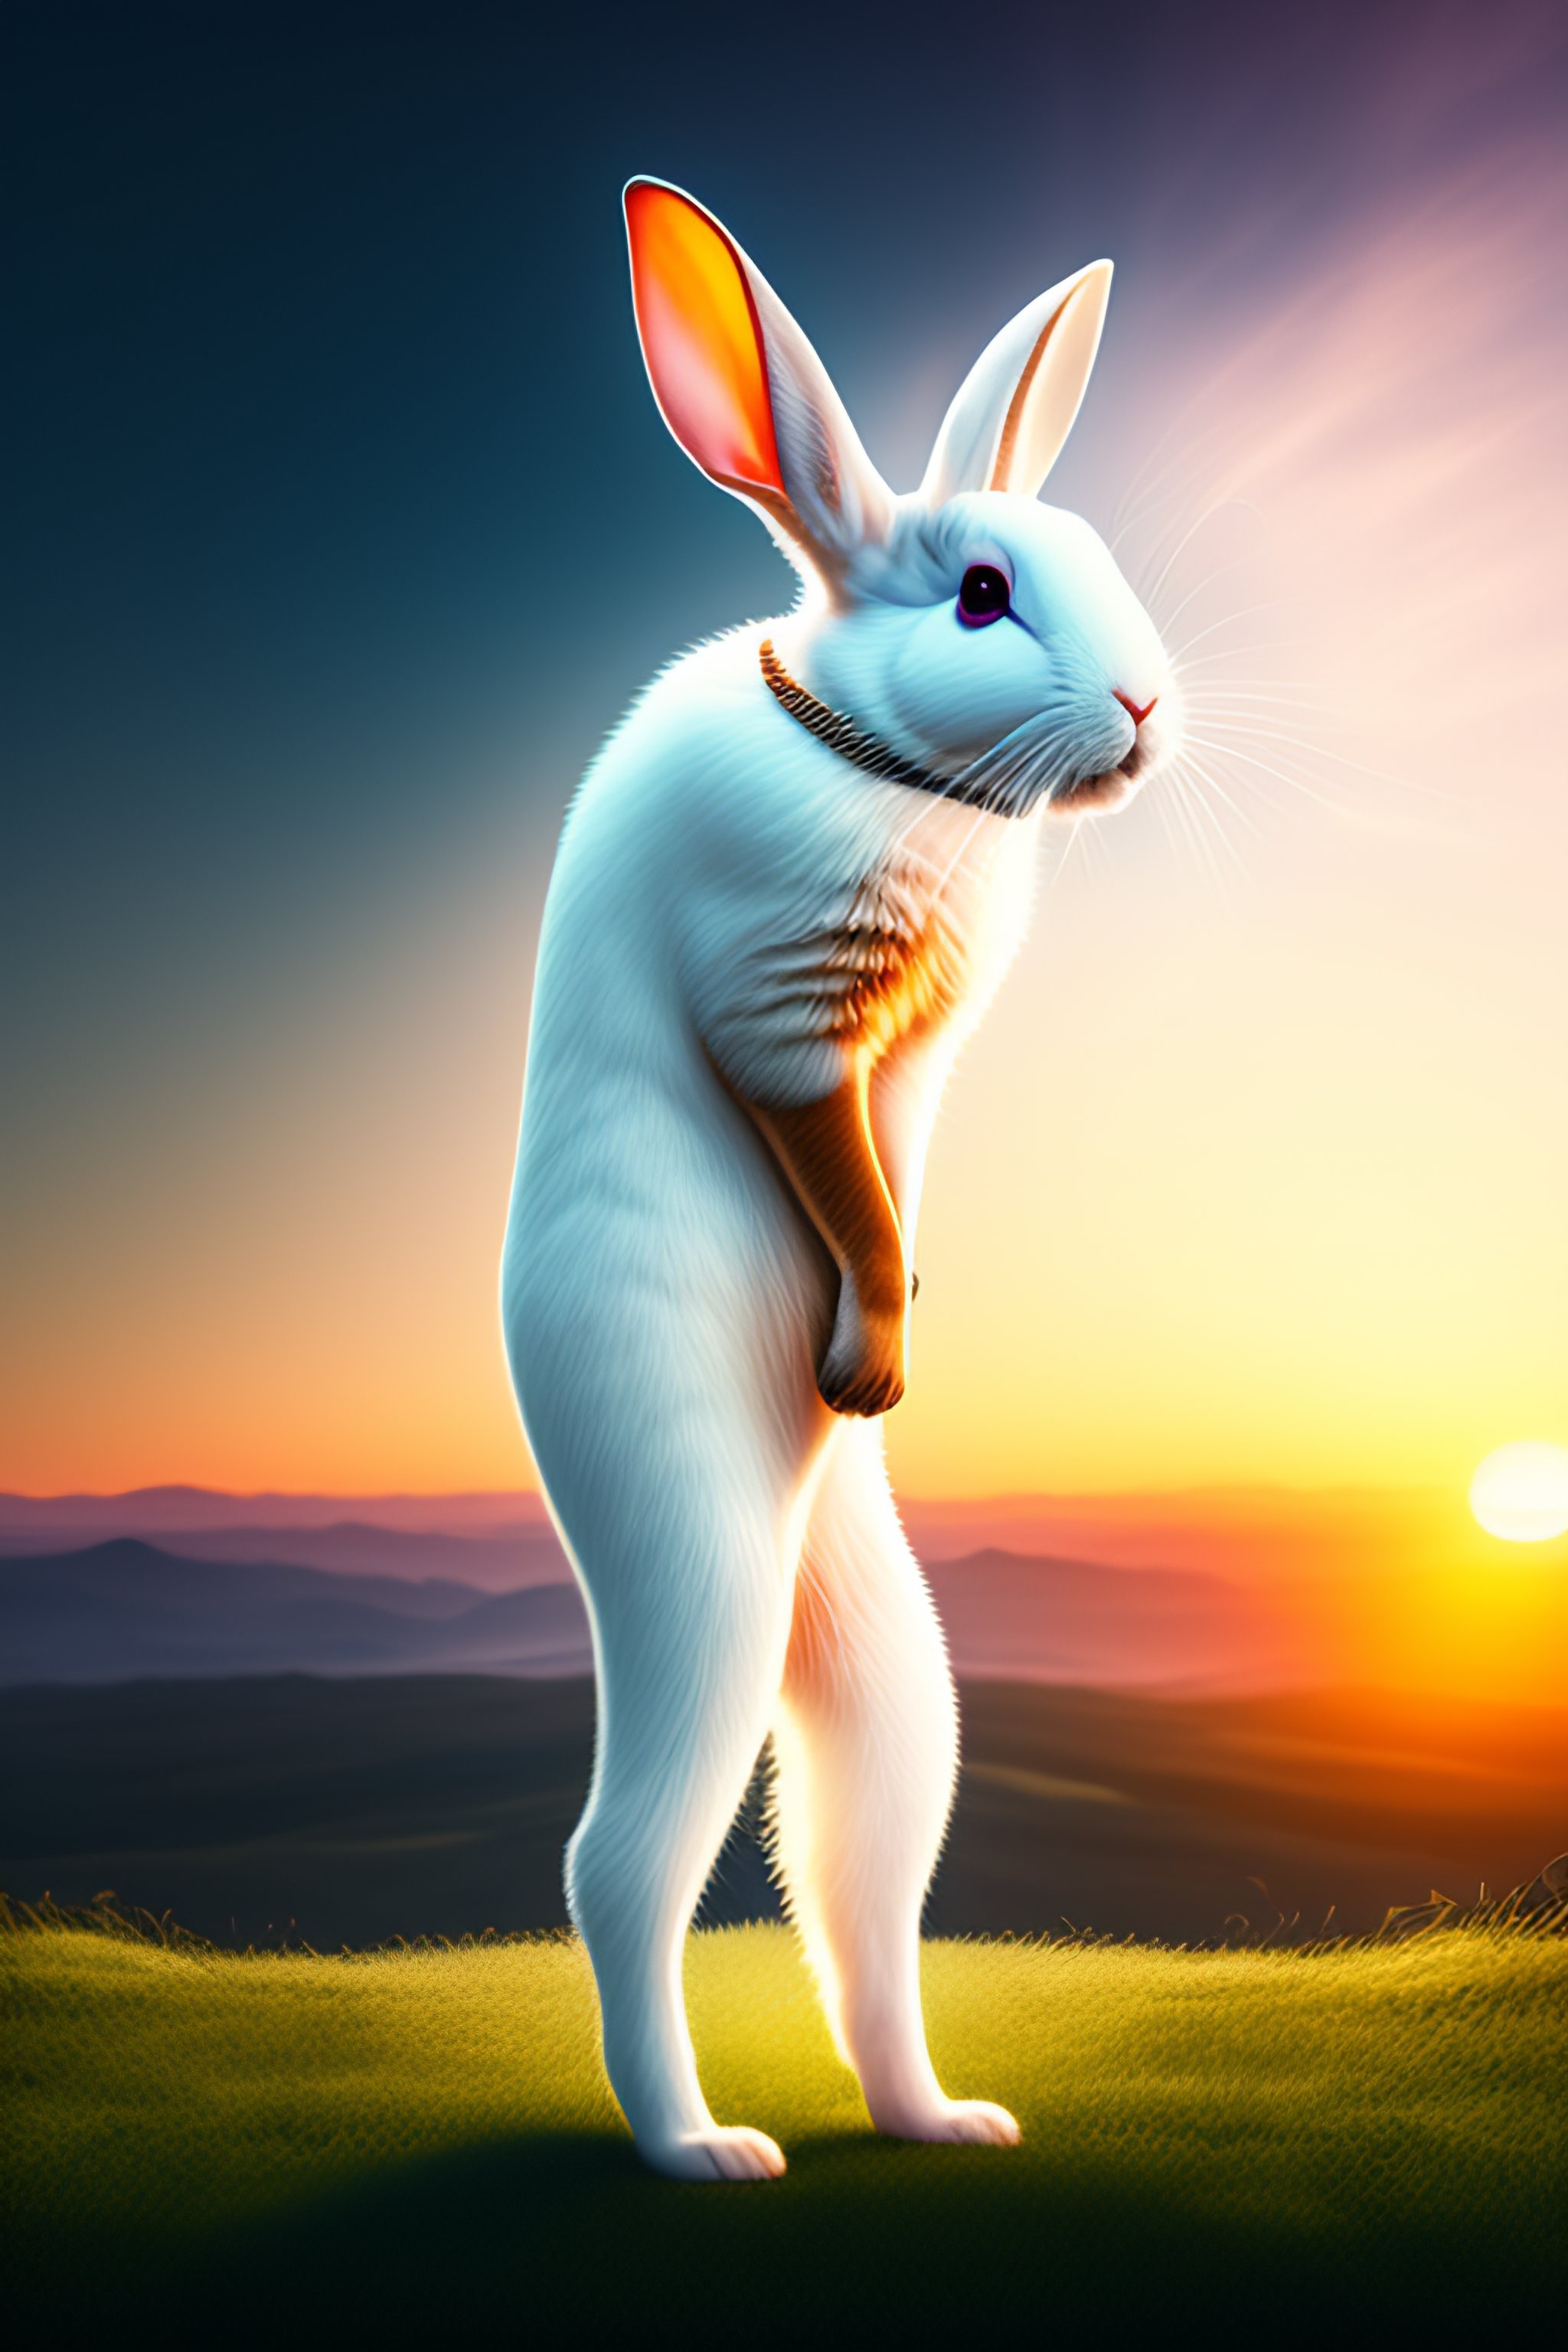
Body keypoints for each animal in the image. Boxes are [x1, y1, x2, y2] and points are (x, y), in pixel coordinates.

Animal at [501, 177, 1173, 2182]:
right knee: (617, 1855)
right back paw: (698, 2148)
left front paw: (890, 1344)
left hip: (859, 1606)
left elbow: (889, 1186)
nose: (1145, 707)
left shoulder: (907, 1061)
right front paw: (874, 1337)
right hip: (682, 1510)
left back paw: (934, 2114)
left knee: (860, 1830)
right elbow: (830, 1163)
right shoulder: (784, 1006)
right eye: (978, 594)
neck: (879, 756)